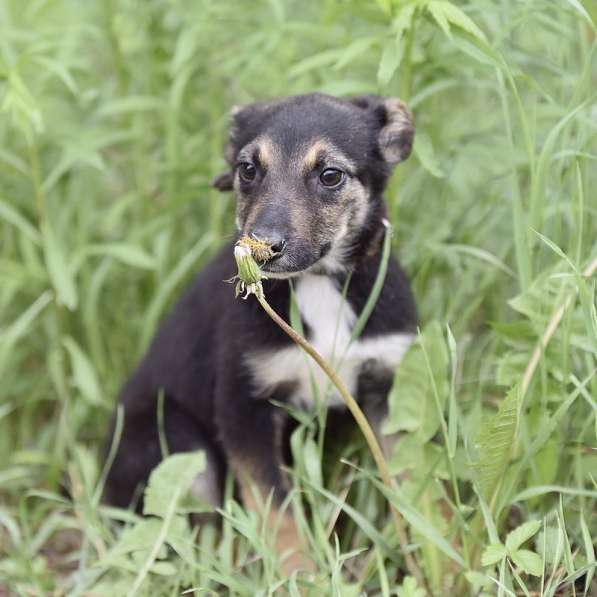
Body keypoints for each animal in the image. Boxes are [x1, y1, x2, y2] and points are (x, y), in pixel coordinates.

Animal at [103, 92, 414, 572]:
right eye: (248, 169)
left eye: (330, 175)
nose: (262, 246)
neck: (316, 284)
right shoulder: (243, 407)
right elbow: (277, 511)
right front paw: (300, 575)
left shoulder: (386, 390)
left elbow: (416, 486)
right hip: (174, 441)